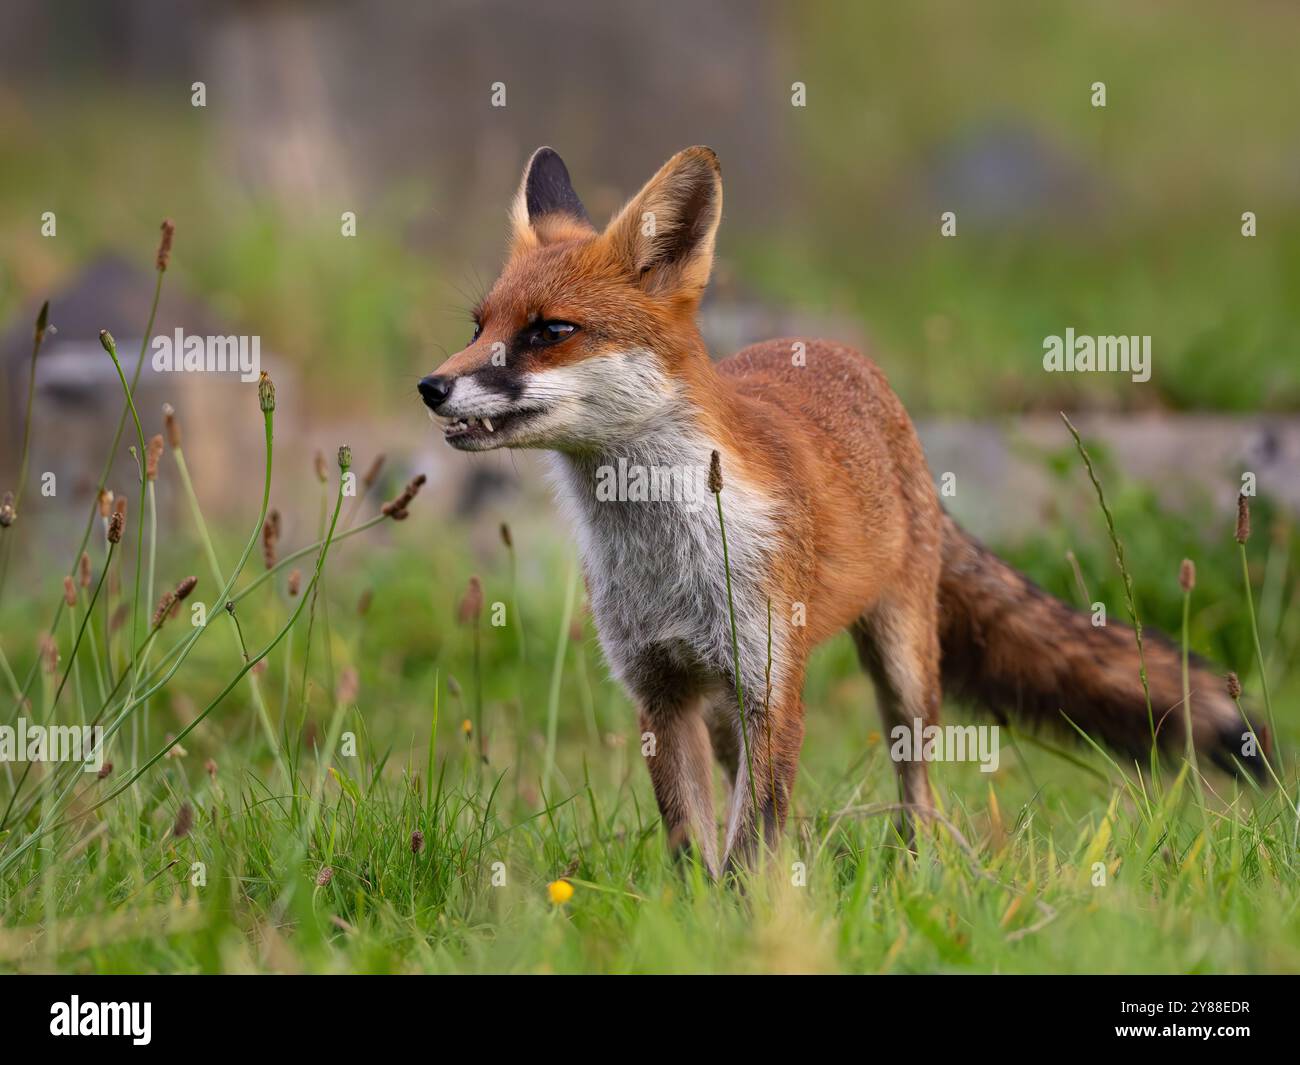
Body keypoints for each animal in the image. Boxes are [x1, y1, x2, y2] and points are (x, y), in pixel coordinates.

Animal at [419, 145, 1268, 875]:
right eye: (479, 326)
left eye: (550, 331)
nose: (431, 385)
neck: (664, 553)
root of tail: (843, 355)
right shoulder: (659, 690)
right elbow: (695, 845)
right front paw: (693, 923)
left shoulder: (772, 686)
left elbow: (747, 846)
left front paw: (741, 922)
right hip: (725, 707)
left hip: (902, 666)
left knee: (917, 786)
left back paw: (916, 866)